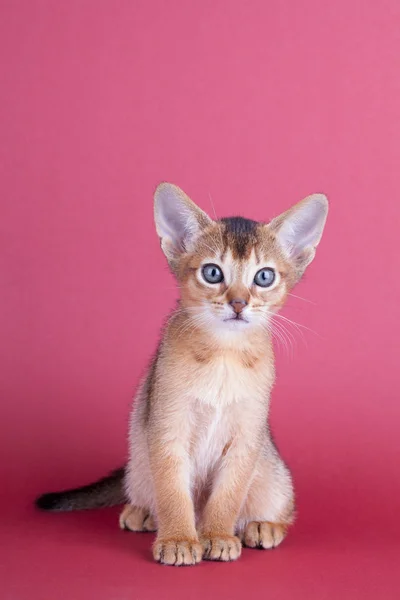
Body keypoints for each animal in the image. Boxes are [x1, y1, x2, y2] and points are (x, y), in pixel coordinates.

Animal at [35, 180, 328, 564]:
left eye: (264, 277)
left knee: (283, 506)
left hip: (274, 474)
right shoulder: (167, 428)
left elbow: (228, 496)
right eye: (212, 272)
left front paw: (217, 535)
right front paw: (178, 540)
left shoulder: (247, 437)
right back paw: (142, 513)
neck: (223, 355)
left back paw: (262, 526)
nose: (238, 303)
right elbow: (173, 492)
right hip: (139, 460)